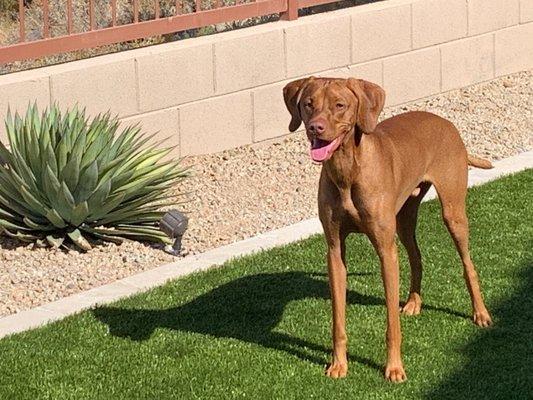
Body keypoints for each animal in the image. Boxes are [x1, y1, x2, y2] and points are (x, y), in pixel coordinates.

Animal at [280, 77, 492, 382]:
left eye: (340, 105)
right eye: (309, 104)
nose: (315, 127)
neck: (347, 170)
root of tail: (444, 121)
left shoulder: (386, 252)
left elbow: (391, 323)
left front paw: (394, 368)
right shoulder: (334, 250)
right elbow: (338, 319)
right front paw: (338, 364)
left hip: (453, 213)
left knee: (467, 264)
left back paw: (481, 313)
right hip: (404, 217)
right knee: (416, 256)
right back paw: (414, 302)